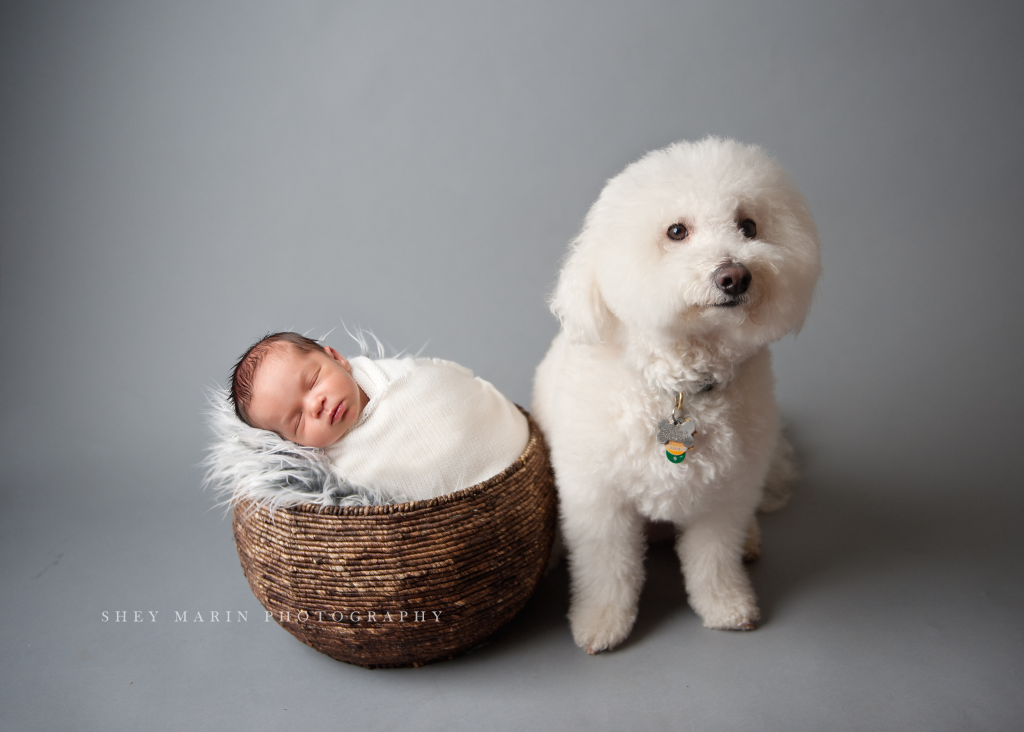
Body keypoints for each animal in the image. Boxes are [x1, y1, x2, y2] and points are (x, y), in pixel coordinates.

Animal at [532, 137, 819, 651]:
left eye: (749, 226)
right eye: (677, 231)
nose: (734, 275)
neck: (682, 387)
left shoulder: (725, 496)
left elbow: (713, 560)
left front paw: (726, 606)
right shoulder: (597, 500)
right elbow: (606, 569)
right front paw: (601, 620)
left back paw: (750, 540)